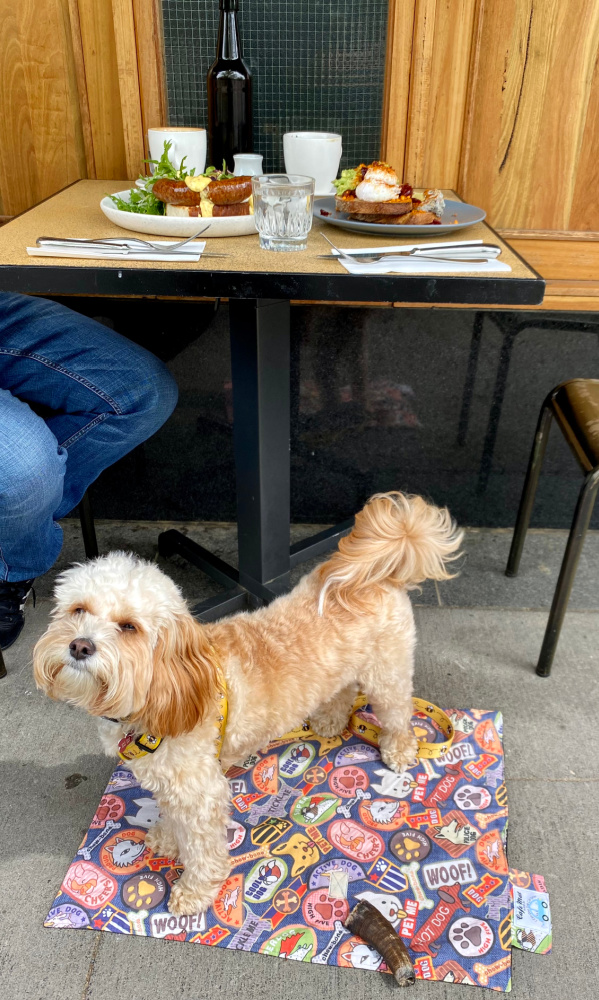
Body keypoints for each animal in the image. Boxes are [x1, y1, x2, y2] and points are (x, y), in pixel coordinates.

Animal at [32, 490, 464, 916]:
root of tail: (377, 570)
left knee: (397, 714)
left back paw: (399, 749)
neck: (167, 689)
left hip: (388, 674)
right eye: (78, 610)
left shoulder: (201, 791)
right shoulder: (173, 781)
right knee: (341, 691)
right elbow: (171, 816)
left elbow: (202, 848)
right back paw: (329, 720)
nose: (79, 645)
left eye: (129, 627)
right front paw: (168, 839)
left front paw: (194, 891)